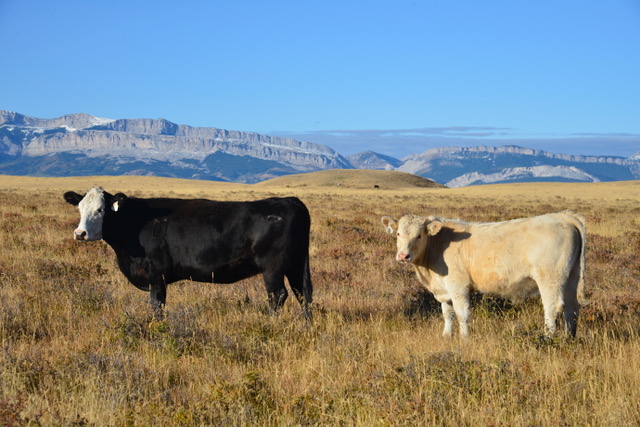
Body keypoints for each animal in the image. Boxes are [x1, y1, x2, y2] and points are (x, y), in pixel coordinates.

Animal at [63, 188, 314, 320]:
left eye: (101, 209)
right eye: (80, 208)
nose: (80, 233)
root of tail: (289, 200)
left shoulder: (157, 275)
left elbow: (157, 305)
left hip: (273, 267)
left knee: (278, 295)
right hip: (296, 263)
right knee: (303, 293)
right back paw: (306, 324)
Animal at [382, 212, 588, 340]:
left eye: (419, 235)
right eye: (398, 233)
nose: (403, 255)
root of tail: (564, 216)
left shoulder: (458, 286)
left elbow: (462, 313)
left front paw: (464, 338)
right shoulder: (444, 290)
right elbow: (448, 314)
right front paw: (447, 336)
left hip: (549, 278)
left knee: (552, 307)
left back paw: (547, 338)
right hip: (571, 276)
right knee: (572, 308)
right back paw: (570, 338)